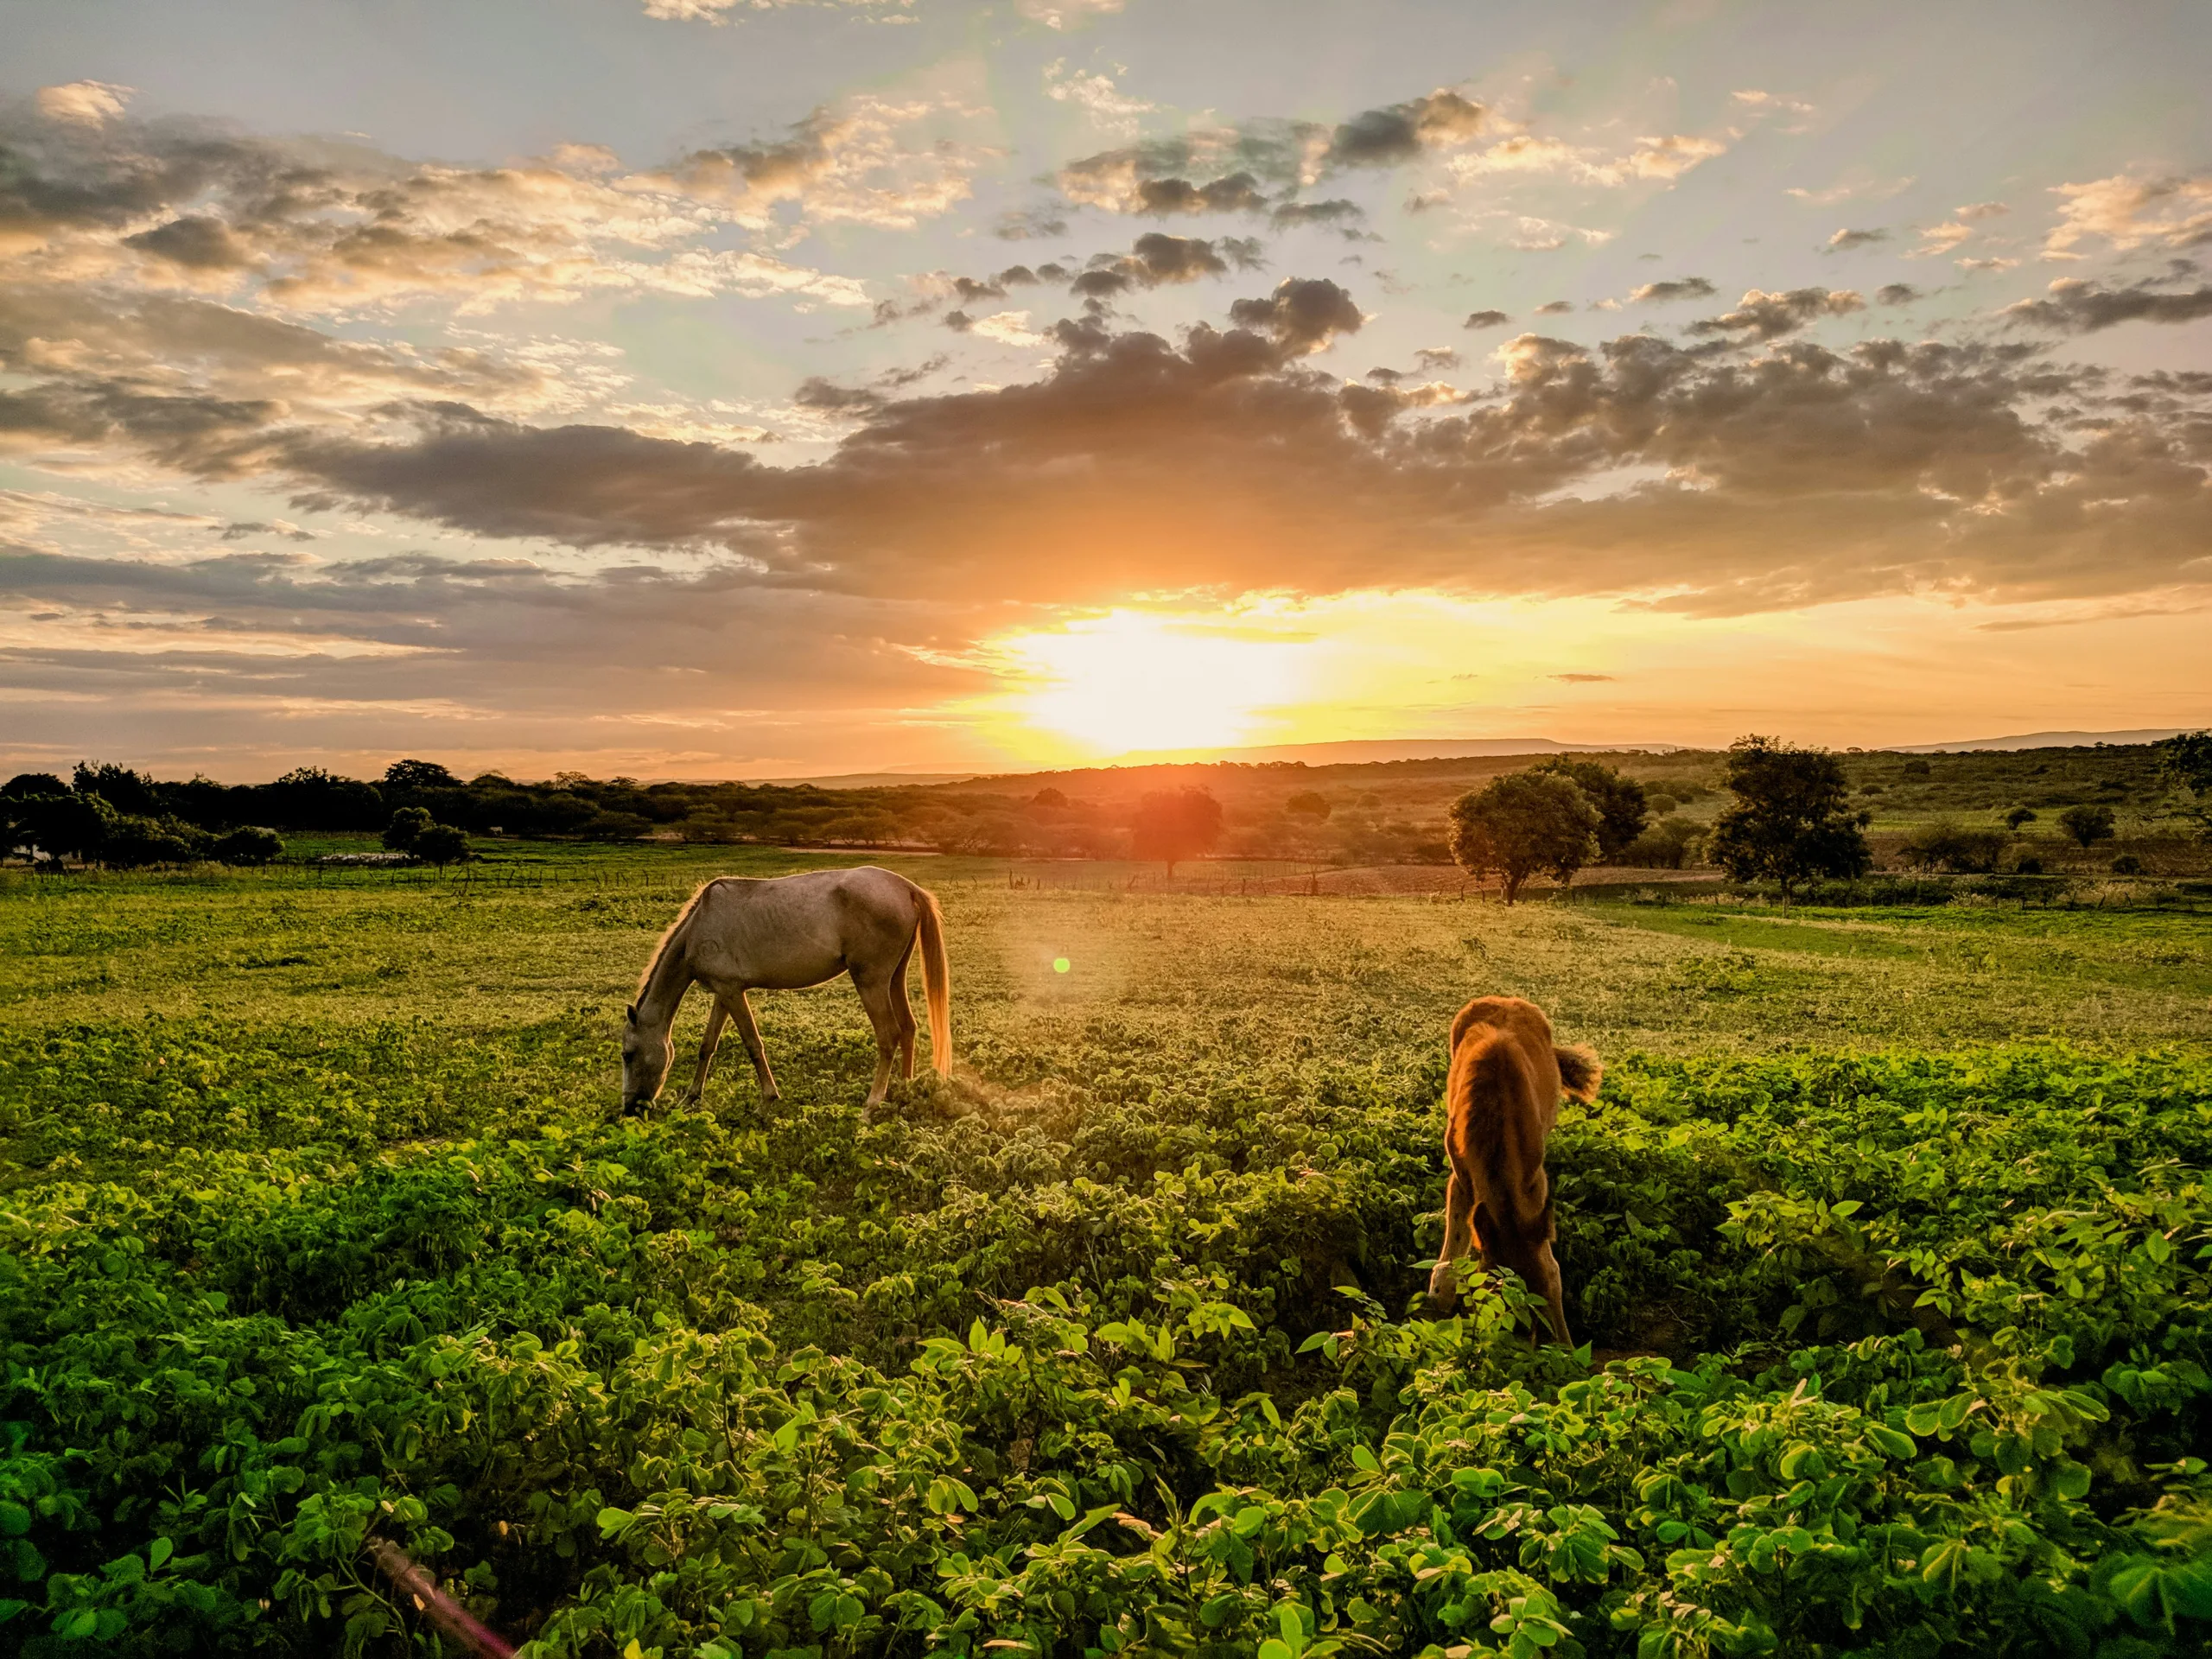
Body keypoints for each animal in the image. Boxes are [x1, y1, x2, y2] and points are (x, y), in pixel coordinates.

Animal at [619, 871, 946, 1119]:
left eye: (628, 1054)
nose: (630, 1108)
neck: (700, 925)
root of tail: (907, 887)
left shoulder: (732, 992)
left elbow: (753, 1044)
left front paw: (767, 1100)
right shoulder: (724, 992)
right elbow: (707, 1045)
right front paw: (690, 1098)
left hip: (871, 981)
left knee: (889, 1035)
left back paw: (871, 1105)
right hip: (894, 978)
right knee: (908, 1027)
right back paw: (904, 1089)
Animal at [1424, 995, 1601, 1344]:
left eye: (1555, 1285)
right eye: (1504, 1295)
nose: (1548, 1345)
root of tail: (1506, 999)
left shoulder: (1534, 1184)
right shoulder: (1462, 1177)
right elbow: (1458, 1231)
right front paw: (1442, 1291)